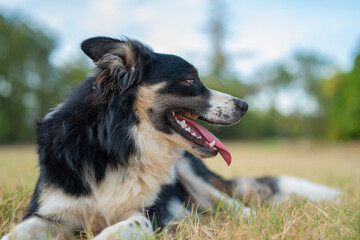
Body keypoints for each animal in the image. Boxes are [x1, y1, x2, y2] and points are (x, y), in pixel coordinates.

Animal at [2, 36, 340, 240]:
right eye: (191, 80)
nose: (245, 105)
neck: (116, 147)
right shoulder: (49, 213)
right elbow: (18, 232)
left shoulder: (147, 215)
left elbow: (112, 232)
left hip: (193, 174)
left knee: (239, 209)